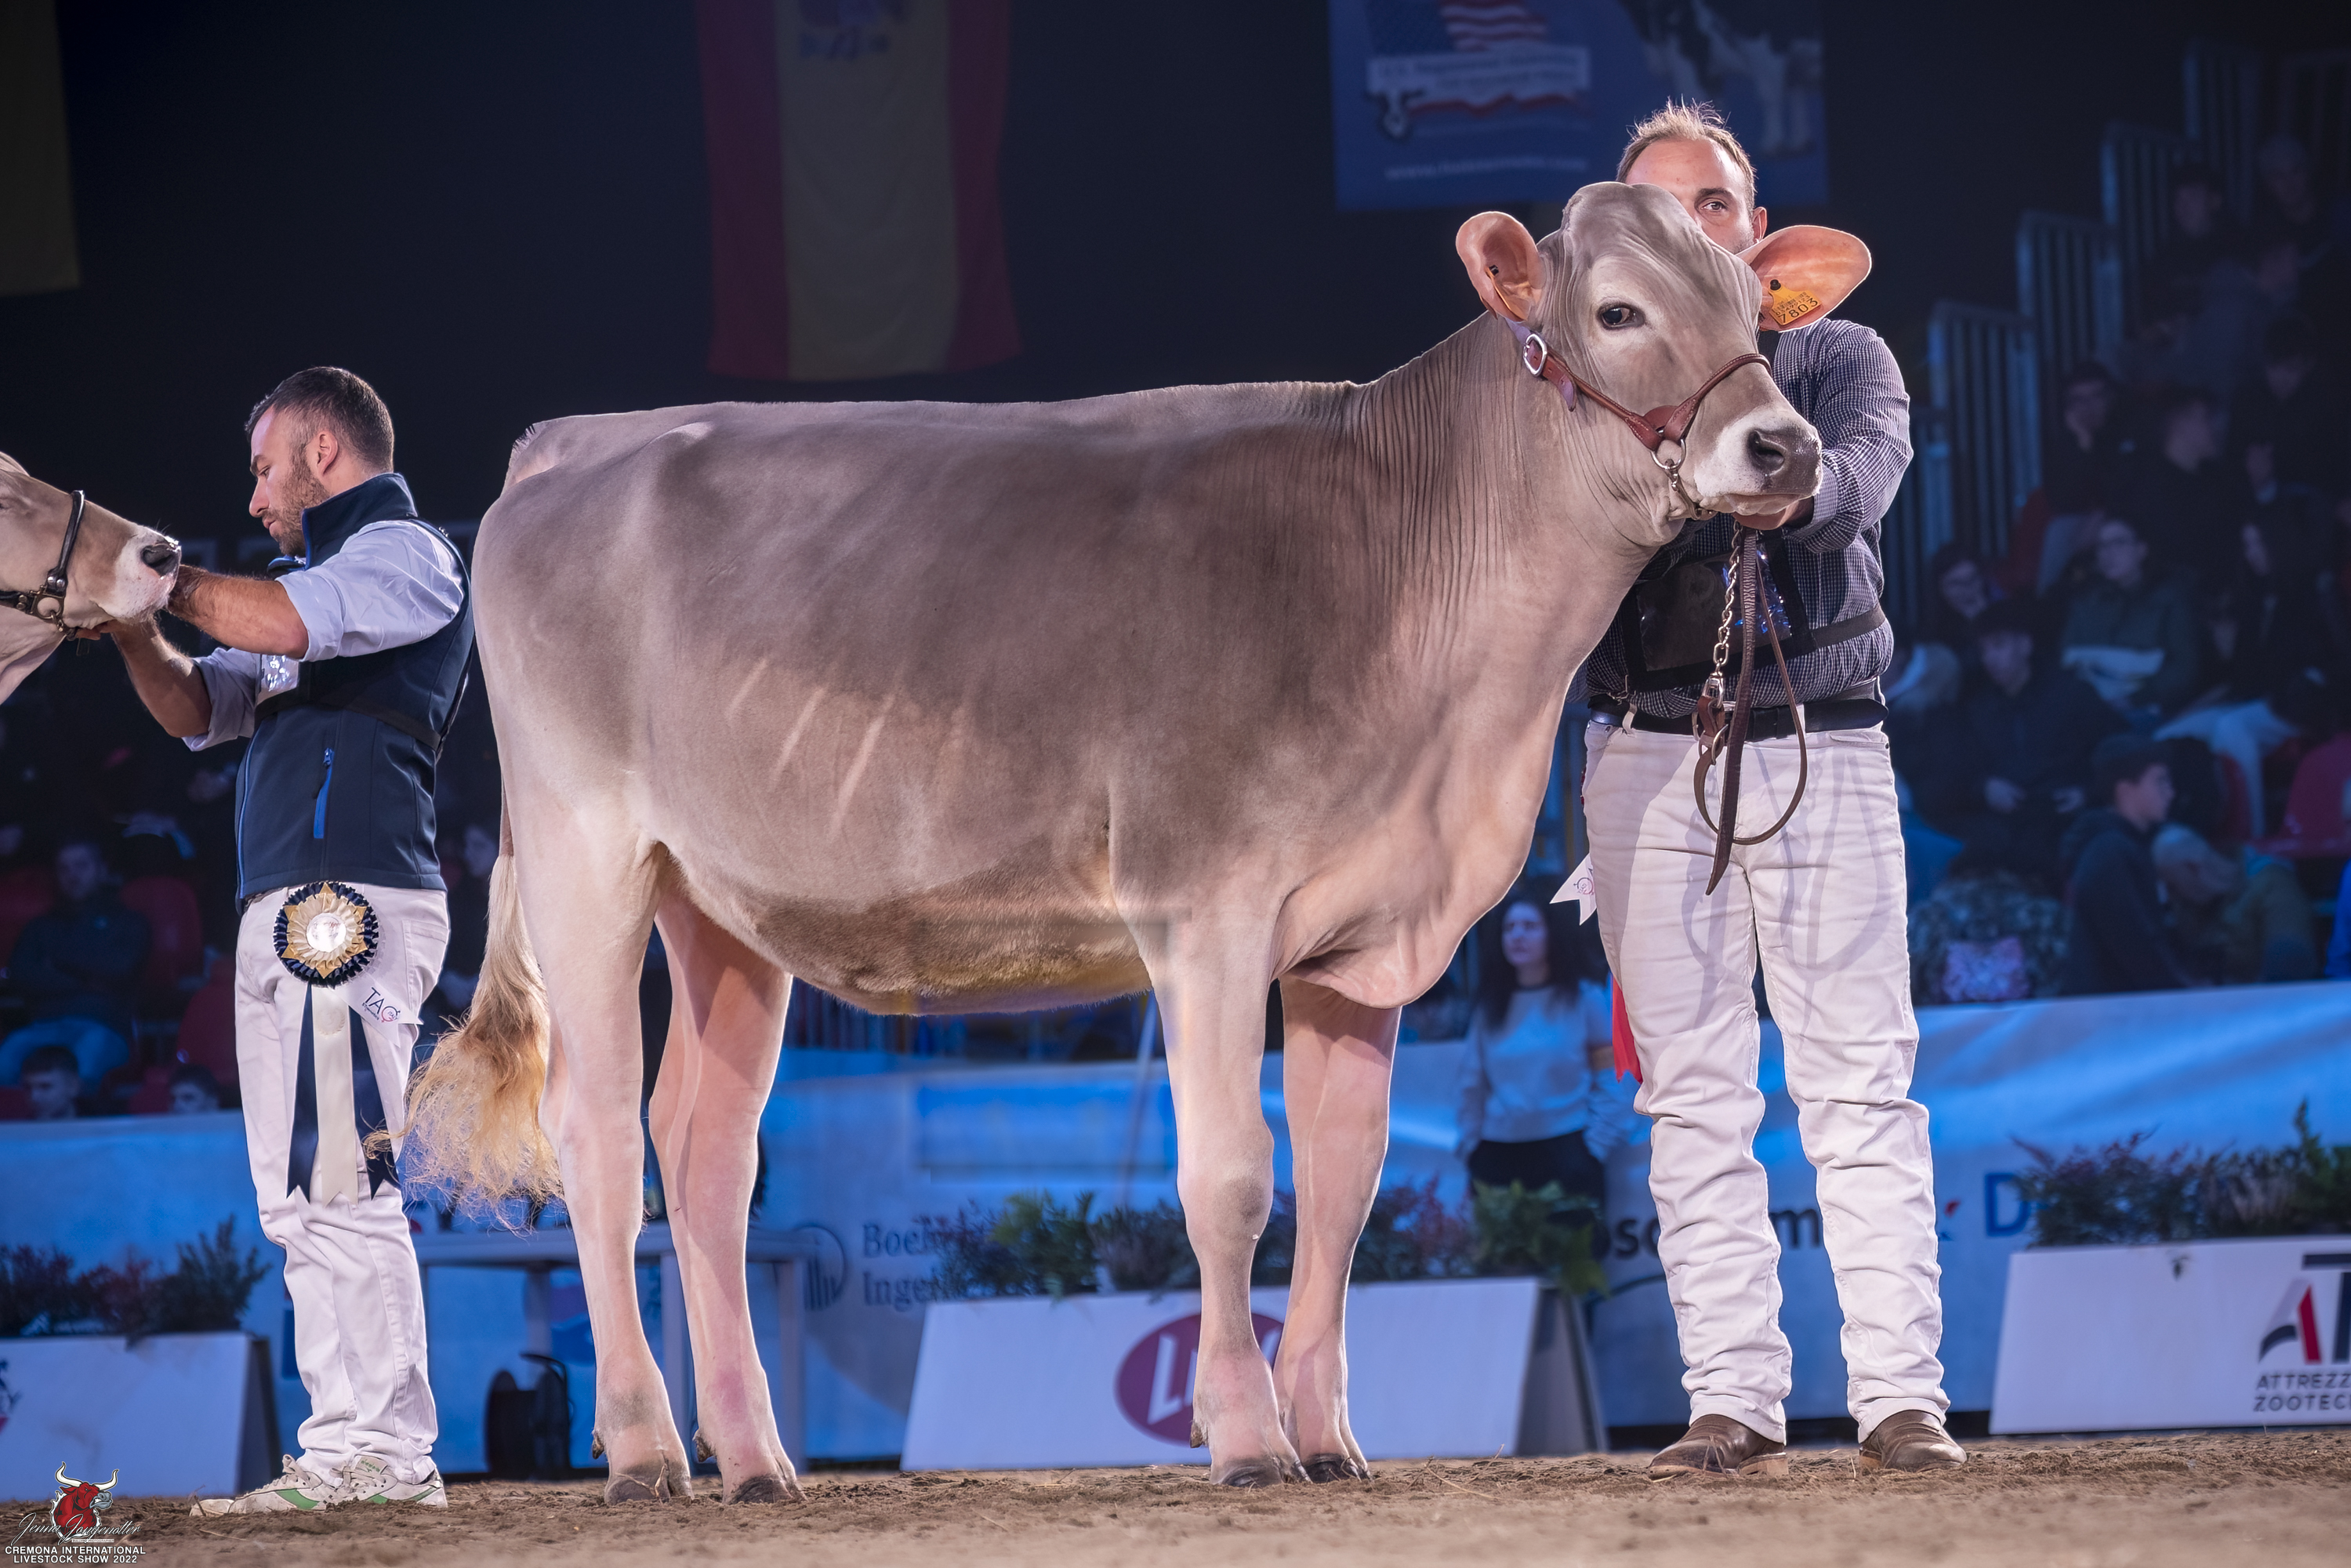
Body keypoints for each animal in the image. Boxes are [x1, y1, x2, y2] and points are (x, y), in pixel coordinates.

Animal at [407, 181, 1864, 1500]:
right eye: (1615, 311)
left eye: (1749, 308)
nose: (1781, 449)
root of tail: (575, 443)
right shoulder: (1204, 912)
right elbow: (1230, 1182)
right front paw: (1244, 1439)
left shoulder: (1363, 935)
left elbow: (1343, 1185)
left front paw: (1329, 1440)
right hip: (587, 856)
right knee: (598, 1135)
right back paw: (646, 1453)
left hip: (720, 907)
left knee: (704, 1151)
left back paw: (759, 1462)